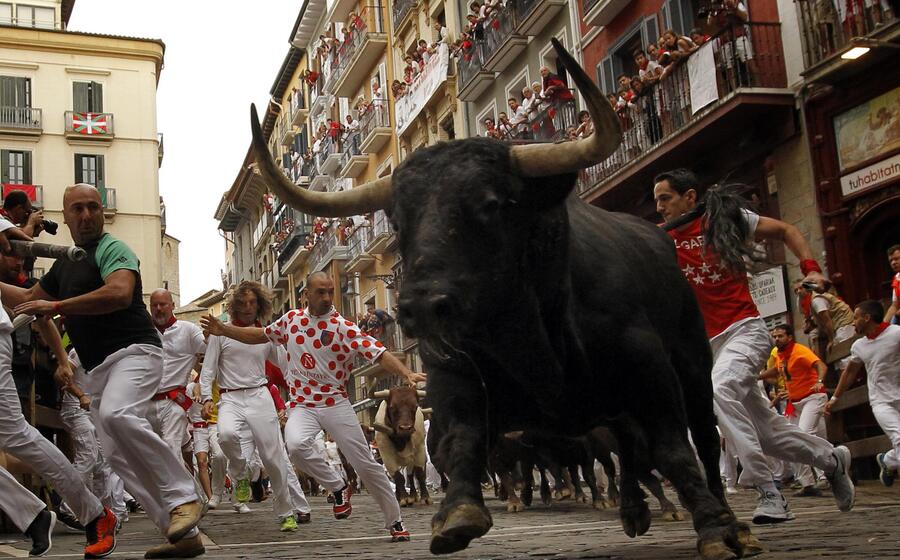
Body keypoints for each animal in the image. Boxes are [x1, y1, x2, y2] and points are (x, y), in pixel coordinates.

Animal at [251, 40, 760, 560]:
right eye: (396, 218)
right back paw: (633, 511)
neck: (527, 333)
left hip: (693, 364)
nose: (420, 307)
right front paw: (458, 513)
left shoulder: (650, 371)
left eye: (491, 204)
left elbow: (674, 448)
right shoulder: (455, 379)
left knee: (701, 438)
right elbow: (462, 443)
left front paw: (715, 527)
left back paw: (721, 520)